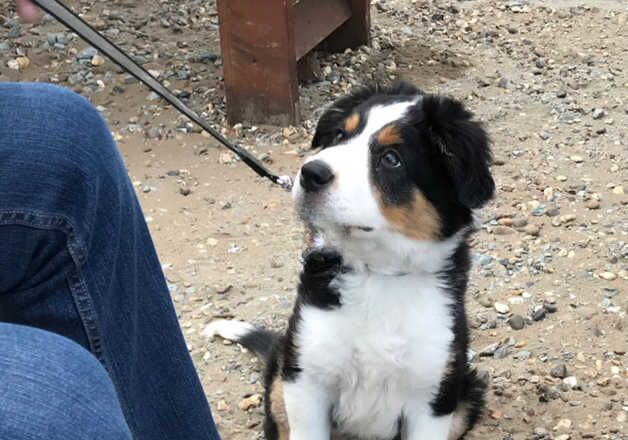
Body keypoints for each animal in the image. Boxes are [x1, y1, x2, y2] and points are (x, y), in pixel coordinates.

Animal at [206, 82, 496, 440]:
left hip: (465, 395)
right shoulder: (307, 379)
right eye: (339, 136)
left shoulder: (433, 395)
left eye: (391, 159)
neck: (378, 275)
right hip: (281, 379)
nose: (310, 172)